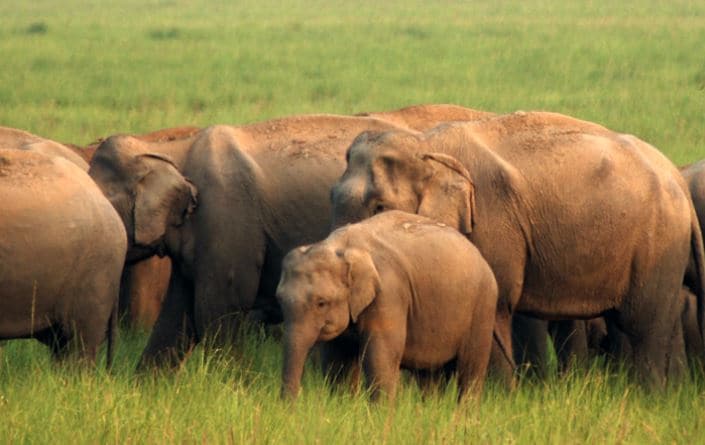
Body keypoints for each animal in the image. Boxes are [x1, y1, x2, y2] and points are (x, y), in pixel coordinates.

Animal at [85, 104, 492, 368]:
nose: (107, 371)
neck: (170, 148)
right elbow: (177, 316)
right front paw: (144, 388)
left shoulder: (227, 220)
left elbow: (218, 308)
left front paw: (233, 388)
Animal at [276, 210, 500, 400]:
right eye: (280, 300)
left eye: (321, 303)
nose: (292, 405)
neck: (342, 246)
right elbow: (337, 360)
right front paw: (340, 403)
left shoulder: (389, 293)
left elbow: (381, 357)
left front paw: (379, 415)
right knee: (430, 376)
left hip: (483, 306)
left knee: (470, 371)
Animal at [330, 110, 704, 386]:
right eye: (331, 195)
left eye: (379, 208)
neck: (425, 143)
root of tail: (676, 177)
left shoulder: (492, 220)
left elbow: (496, 303)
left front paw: (499, 398)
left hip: (659, 242)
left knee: (644, 325)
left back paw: (649, 396)